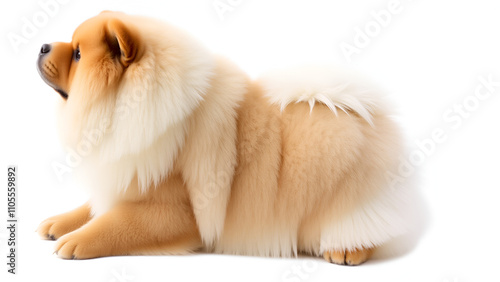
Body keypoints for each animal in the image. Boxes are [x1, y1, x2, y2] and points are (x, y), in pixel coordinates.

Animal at [35, 11, 414, 266]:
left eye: (78, 54)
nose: (42, 45)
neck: (122, 108)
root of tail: (365, 113)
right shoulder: (123, 178)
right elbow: (93, 207)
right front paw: (58, 223)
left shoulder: (175, 210)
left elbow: (115, 223)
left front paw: (75, 241)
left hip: (345, 196)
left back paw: (346, 249)